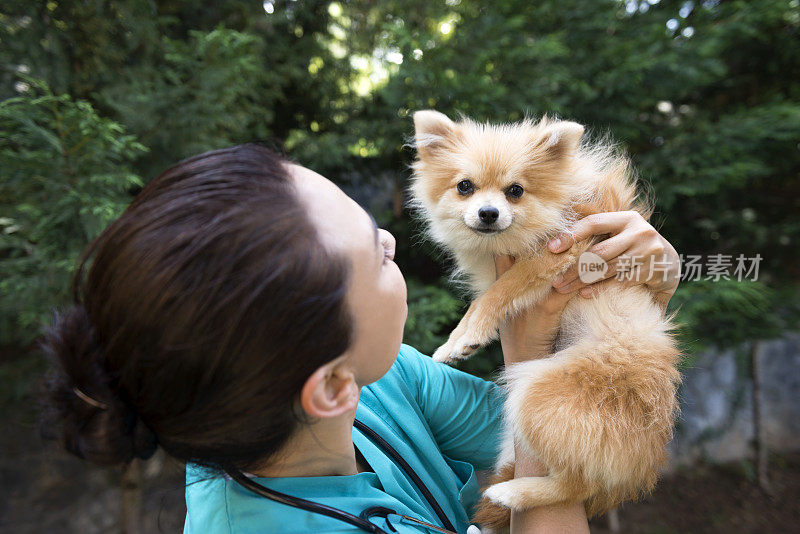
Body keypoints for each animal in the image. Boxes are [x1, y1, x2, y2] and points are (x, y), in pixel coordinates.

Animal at [412, 111, 680, 528]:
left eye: (515, 191)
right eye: (464, 187)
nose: (488, 213)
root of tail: (641, 458)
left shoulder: (564, 250)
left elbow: (497, 292)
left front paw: (467, 335)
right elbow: (486, 296)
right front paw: (456, 341)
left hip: (537, 393)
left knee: (578, 485)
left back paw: (513, 493)